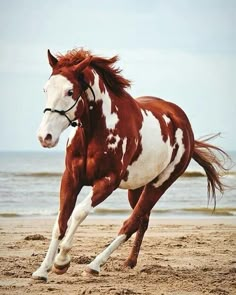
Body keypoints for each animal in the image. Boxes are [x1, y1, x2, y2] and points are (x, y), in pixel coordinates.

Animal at [32, 48, 228, 282]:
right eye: (45, 89)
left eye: (70, 91)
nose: (45, 137)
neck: (96, 132)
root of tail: (184, 124)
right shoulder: (71, 178)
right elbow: (60, 222)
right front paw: (42, 270)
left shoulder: (107, 182)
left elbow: (79, 213)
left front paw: (62, 261)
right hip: (136, 187)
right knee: (142, 220)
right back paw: (129, 262)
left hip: (159, 184)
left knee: (132, 222)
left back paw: (94, 265)